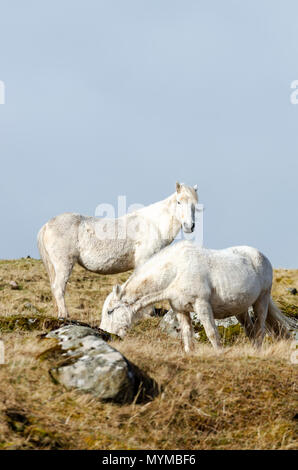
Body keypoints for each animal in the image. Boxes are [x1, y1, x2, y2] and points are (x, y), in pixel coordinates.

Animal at [38, 182, 199, 318]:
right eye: (179, 202)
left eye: (194, 205)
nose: (189, 226)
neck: (154, 224)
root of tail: (47, 225)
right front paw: (148, 313)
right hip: (64, 264)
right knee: (58, 288)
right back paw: (64, 315)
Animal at [100, 241, 296, 350]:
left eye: (110, 311)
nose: (107, 334)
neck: (176, 271)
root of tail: (260, 256)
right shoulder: (180, 310)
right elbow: (187, 337)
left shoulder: (202, 306)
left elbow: (211, 334)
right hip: (240, 309)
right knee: (250, 331)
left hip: (262, 300)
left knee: (259, 330)